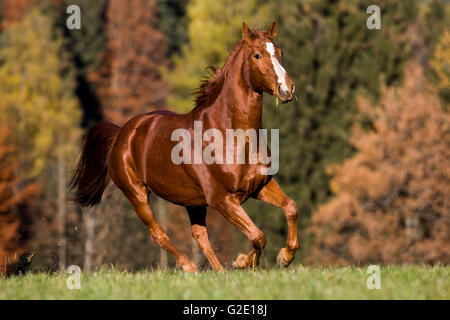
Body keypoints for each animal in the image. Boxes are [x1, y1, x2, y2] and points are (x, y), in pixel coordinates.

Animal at [71, 21, 298, 272]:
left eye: (280, 52)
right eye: (257, 55)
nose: (287, 89)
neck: (231, 135)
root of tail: (121, 133)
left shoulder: (260, 186)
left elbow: (290, 207)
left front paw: (284, 256)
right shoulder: (222, 199)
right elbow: (258, 235)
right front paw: (243, 262)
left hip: (193, 202)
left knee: (200, 236)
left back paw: (218, 272)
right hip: (136, 193)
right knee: (159, 234)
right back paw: (190, 267)